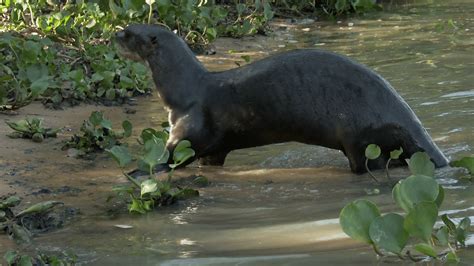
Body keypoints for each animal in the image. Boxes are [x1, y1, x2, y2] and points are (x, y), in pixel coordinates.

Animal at [115, 23, 448, 174]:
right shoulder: (213, 148)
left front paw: (139, 171)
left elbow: (171, 156)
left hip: (363, 139)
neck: (182, 92)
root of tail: (406, 116)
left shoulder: (189, 127)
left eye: (130, 33)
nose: (114, 35)